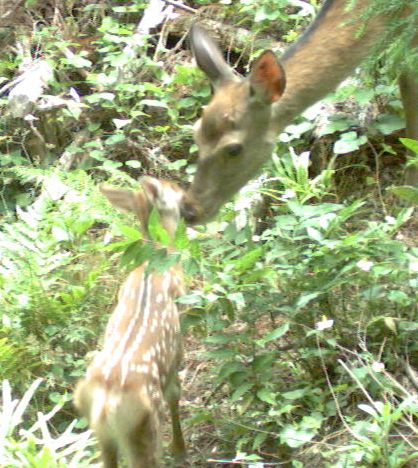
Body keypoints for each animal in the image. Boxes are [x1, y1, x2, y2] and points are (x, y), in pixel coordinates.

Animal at [74, 176, 187, 468]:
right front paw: (180, 449)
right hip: (143, 428)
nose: (188, 194)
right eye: (174, 190)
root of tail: (105, 402)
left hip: (102, 434)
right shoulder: (178, 344)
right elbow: (175, 392)